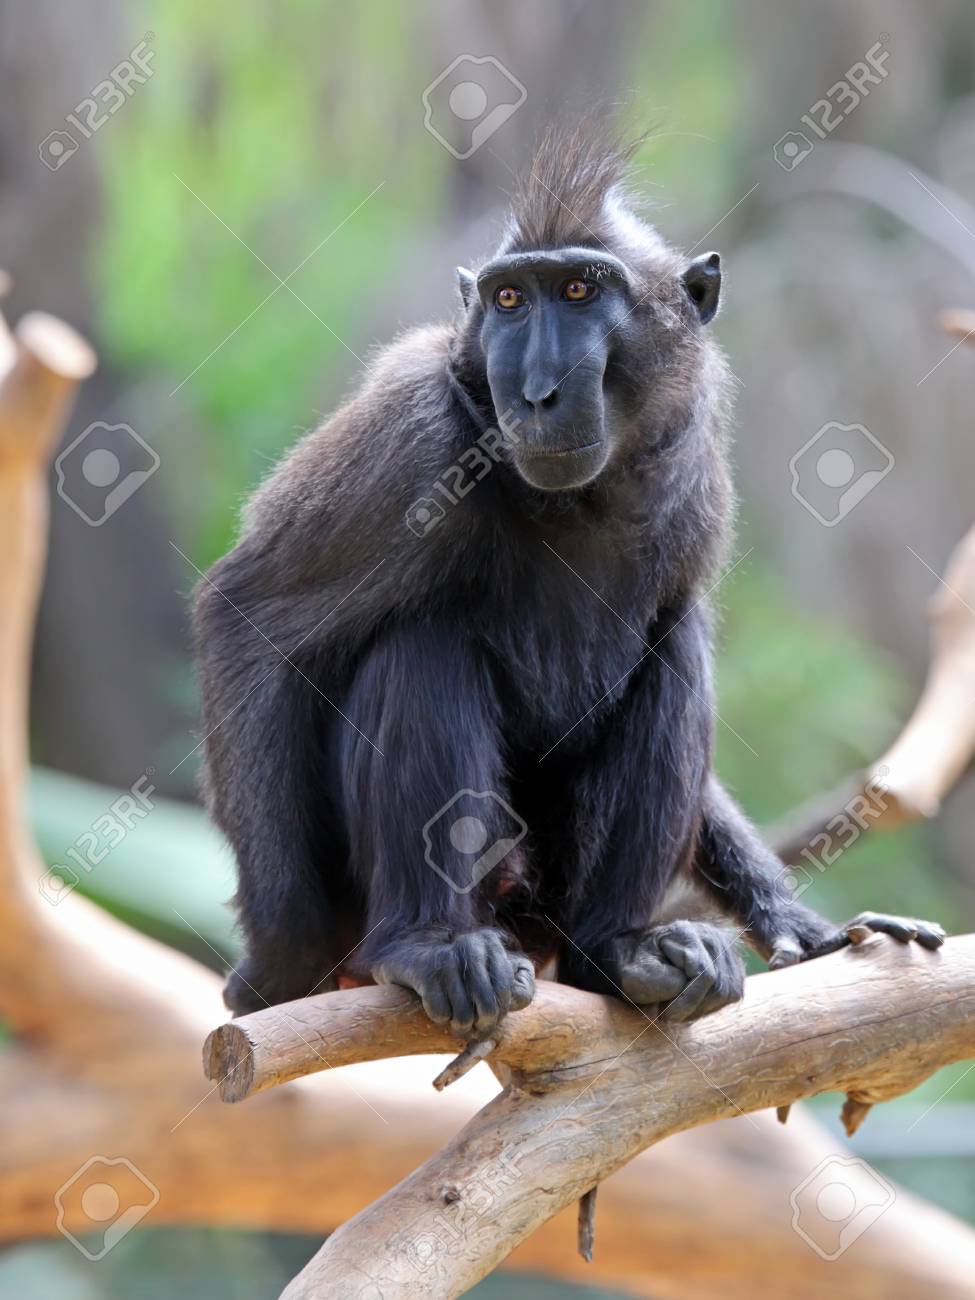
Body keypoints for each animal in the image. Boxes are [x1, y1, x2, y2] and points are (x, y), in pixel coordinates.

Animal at [194, 124, 944, 1038]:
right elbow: (251, 619)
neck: (579, 496)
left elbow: (673, 618)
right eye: (510, 301)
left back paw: (615, 955)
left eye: (581, 290)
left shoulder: (692, 459)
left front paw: (798, 923)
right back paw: (425, 946)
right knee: (421, 646)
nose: (536, 393)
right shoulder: (410, 439)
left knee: (674, 644)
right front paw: (281, 957)